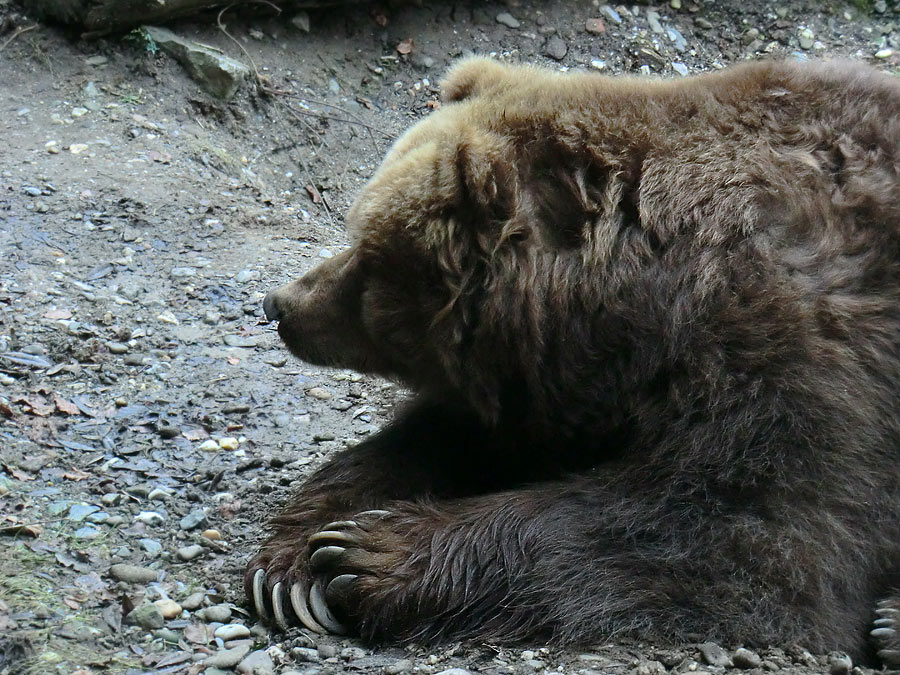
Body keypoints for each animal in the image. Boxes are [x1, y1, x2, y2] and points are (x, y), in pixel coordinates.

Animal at [246, 59, 900, 664]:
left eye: (368, 259)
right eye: (357, 237)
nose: (280, 304)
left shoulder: (798, 359)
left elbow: (746, 536)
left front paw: (365, 553)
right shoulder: (559, 385)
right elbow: (443, 439)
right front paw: (294, 561)